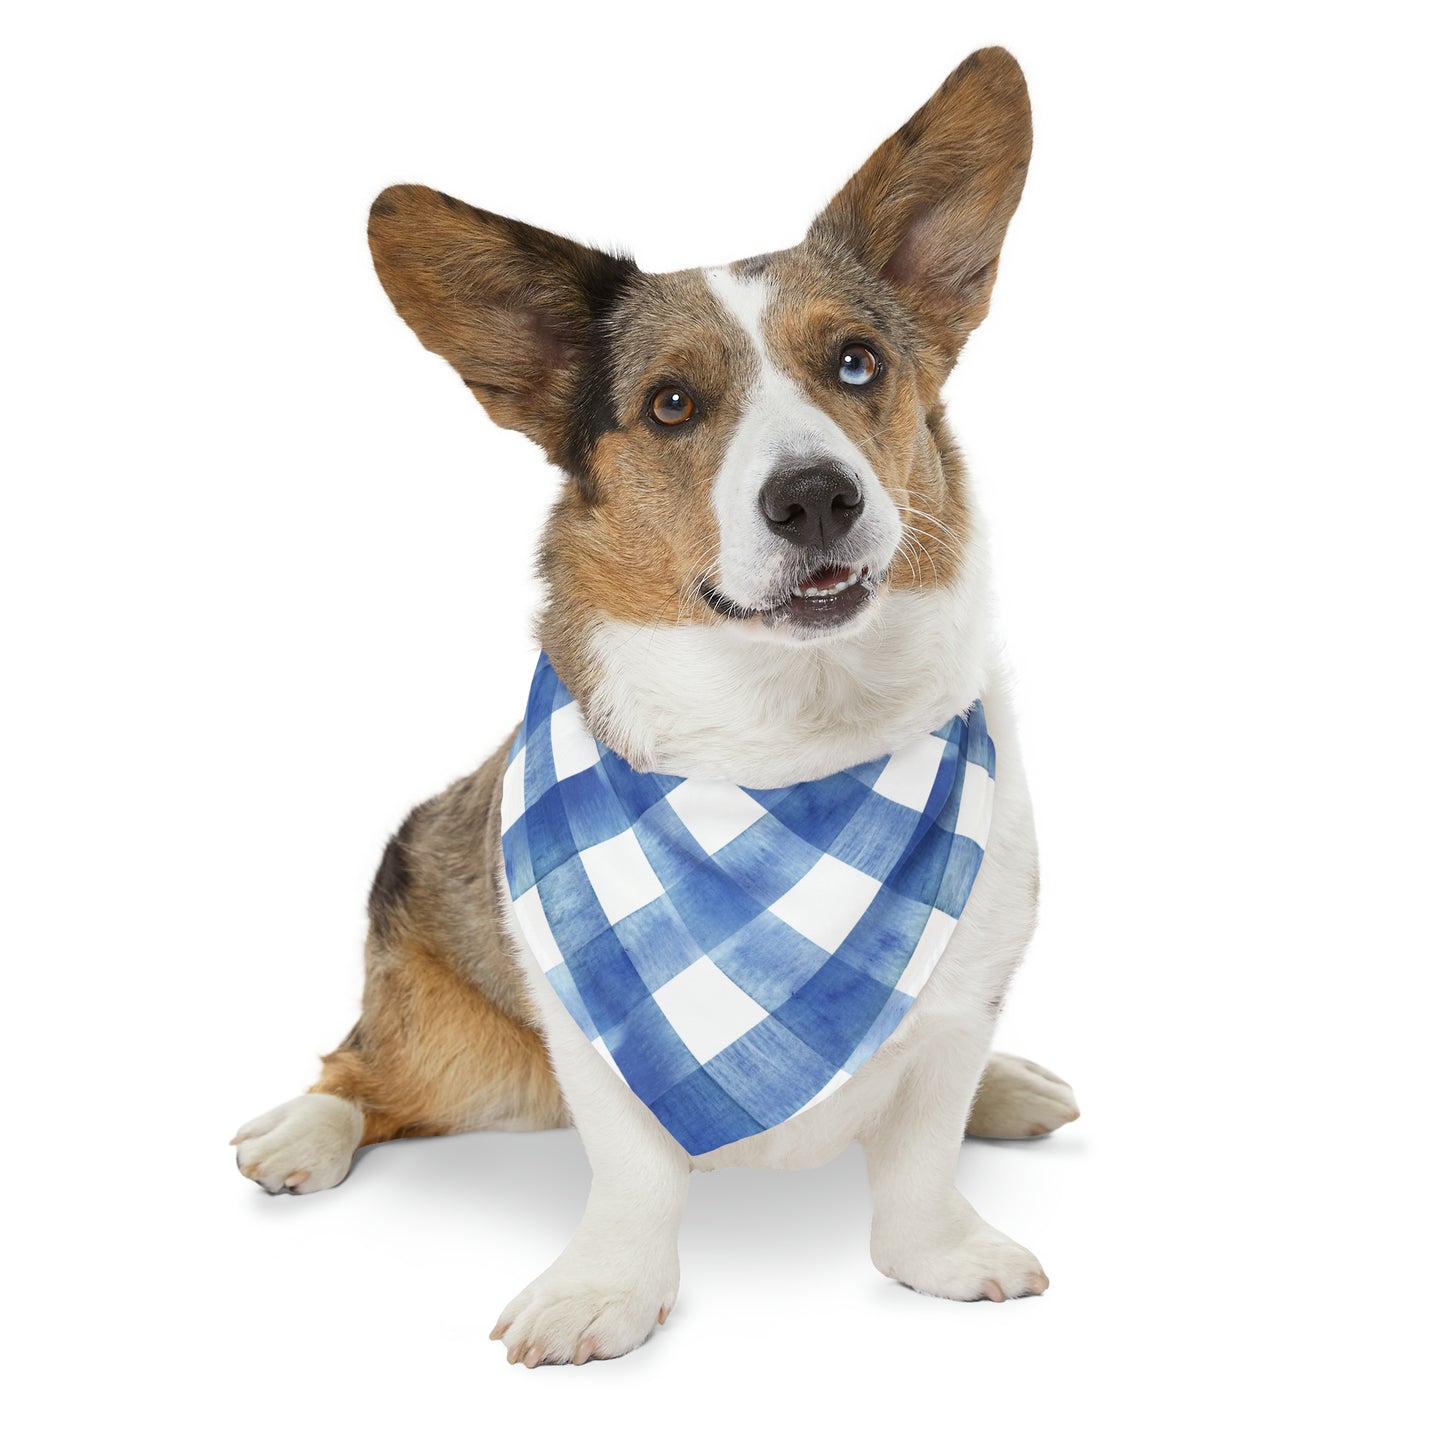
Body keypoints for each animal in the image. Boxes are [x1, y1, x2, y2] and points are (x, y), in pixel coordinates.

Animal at [231, 48, 1080, 1364]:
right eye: (671, 403)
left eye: (856, 363)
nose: (815, 498)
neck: (790, 751)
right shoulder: (591, 1033)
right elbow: (631, 1171)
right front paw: (603, 1292)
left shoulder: (958, 995)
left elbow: (921, 1148)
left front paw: (938, 1251)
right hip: (459, 1048)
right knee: (362, 1071)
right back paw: (302, 1130)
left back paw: (1009, 1088)